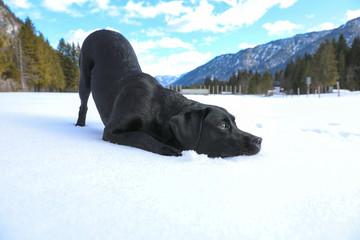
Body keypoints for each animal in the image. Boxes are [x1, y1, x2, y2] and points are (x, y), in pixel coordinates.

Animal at [76, 30, 262, 158]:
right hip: (84, 77)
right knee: (83, 104)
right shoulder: (111, 131)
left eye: (235, 122)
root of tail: (102, 30)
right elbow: (141, 136)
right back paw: (79, 125)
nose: (259, 139)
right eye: (223, 125)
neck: (158, 110)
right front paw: (167, 149)